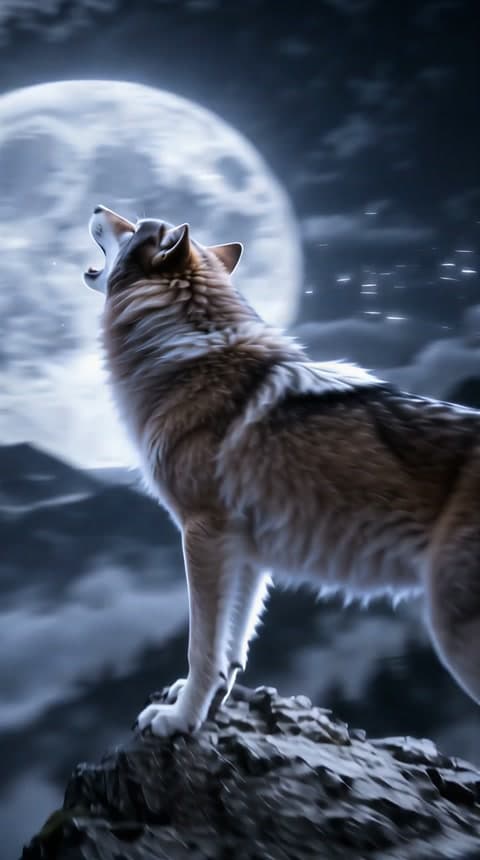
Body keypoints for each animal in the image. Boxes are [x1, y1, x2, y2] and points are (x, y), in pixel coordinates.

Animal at [84, 205, 480, 737]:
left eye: (132, 225)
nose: (96, 207)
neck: (186, 355)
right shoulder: (245, 551)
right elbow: (231, 644)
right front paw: (206, 704)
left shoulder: (202, 534)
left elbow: (201, 647)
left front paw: (180, 720)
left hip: (453, 636)